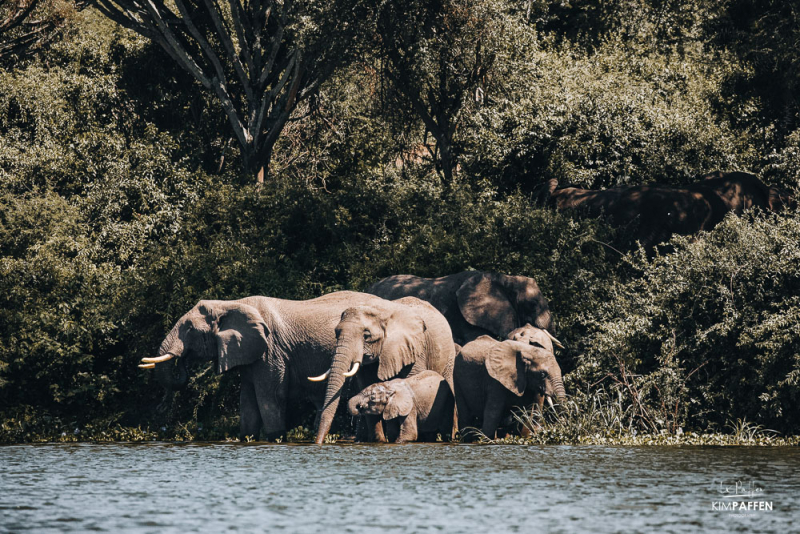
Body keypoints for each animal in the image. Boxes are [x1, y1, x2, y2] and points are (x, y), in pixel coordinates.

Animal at [141, 294, 390, 444]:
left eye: (190, 329)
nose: (182, 362)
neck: (230, 303)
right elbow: (248, 403)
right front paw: (248, 439)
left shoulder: (271, 351)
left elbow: (269, 397)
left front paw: (275, 440)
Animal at [312, 298, 456, 444]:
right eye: (336, 333)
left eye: (366, 335)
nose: (318, 442)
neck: (379, 310)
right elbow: (367, 385)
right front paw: (378, 441)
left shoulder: (415, 349)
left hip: (448, 358)